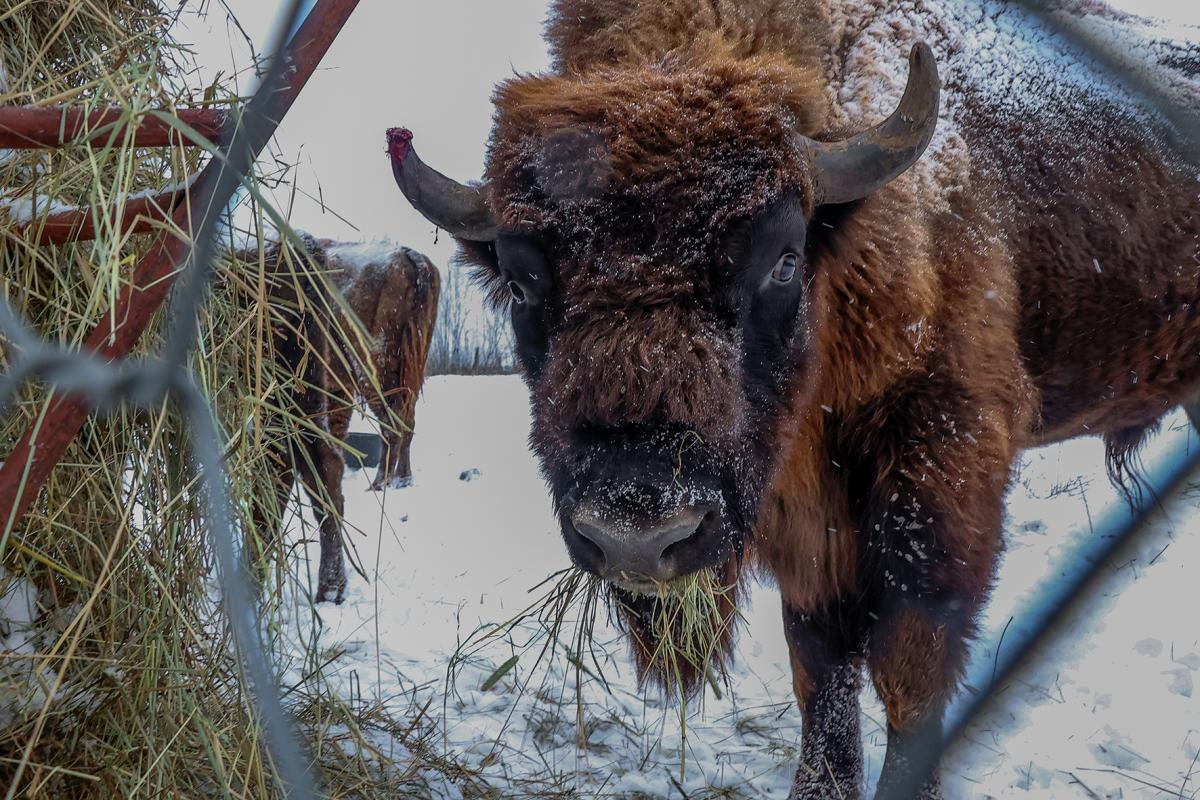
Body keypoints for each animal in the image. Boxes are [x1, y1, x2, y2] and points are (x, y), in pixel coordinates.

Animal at [253, 235, 441, 604]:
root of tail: (409, 256)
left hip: (374, 370)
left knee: (392, 426)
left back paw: (380, 483)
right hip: (408, 368)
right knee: (406, 424)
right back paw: (401, 479)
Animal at [386, 3, 1200, 796]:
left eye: (781, 260)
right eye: (522, 284)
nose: (638, 536)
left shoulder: (942, 461)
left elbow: (910, 664)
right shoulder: (802, 518)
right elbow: (820, 660)